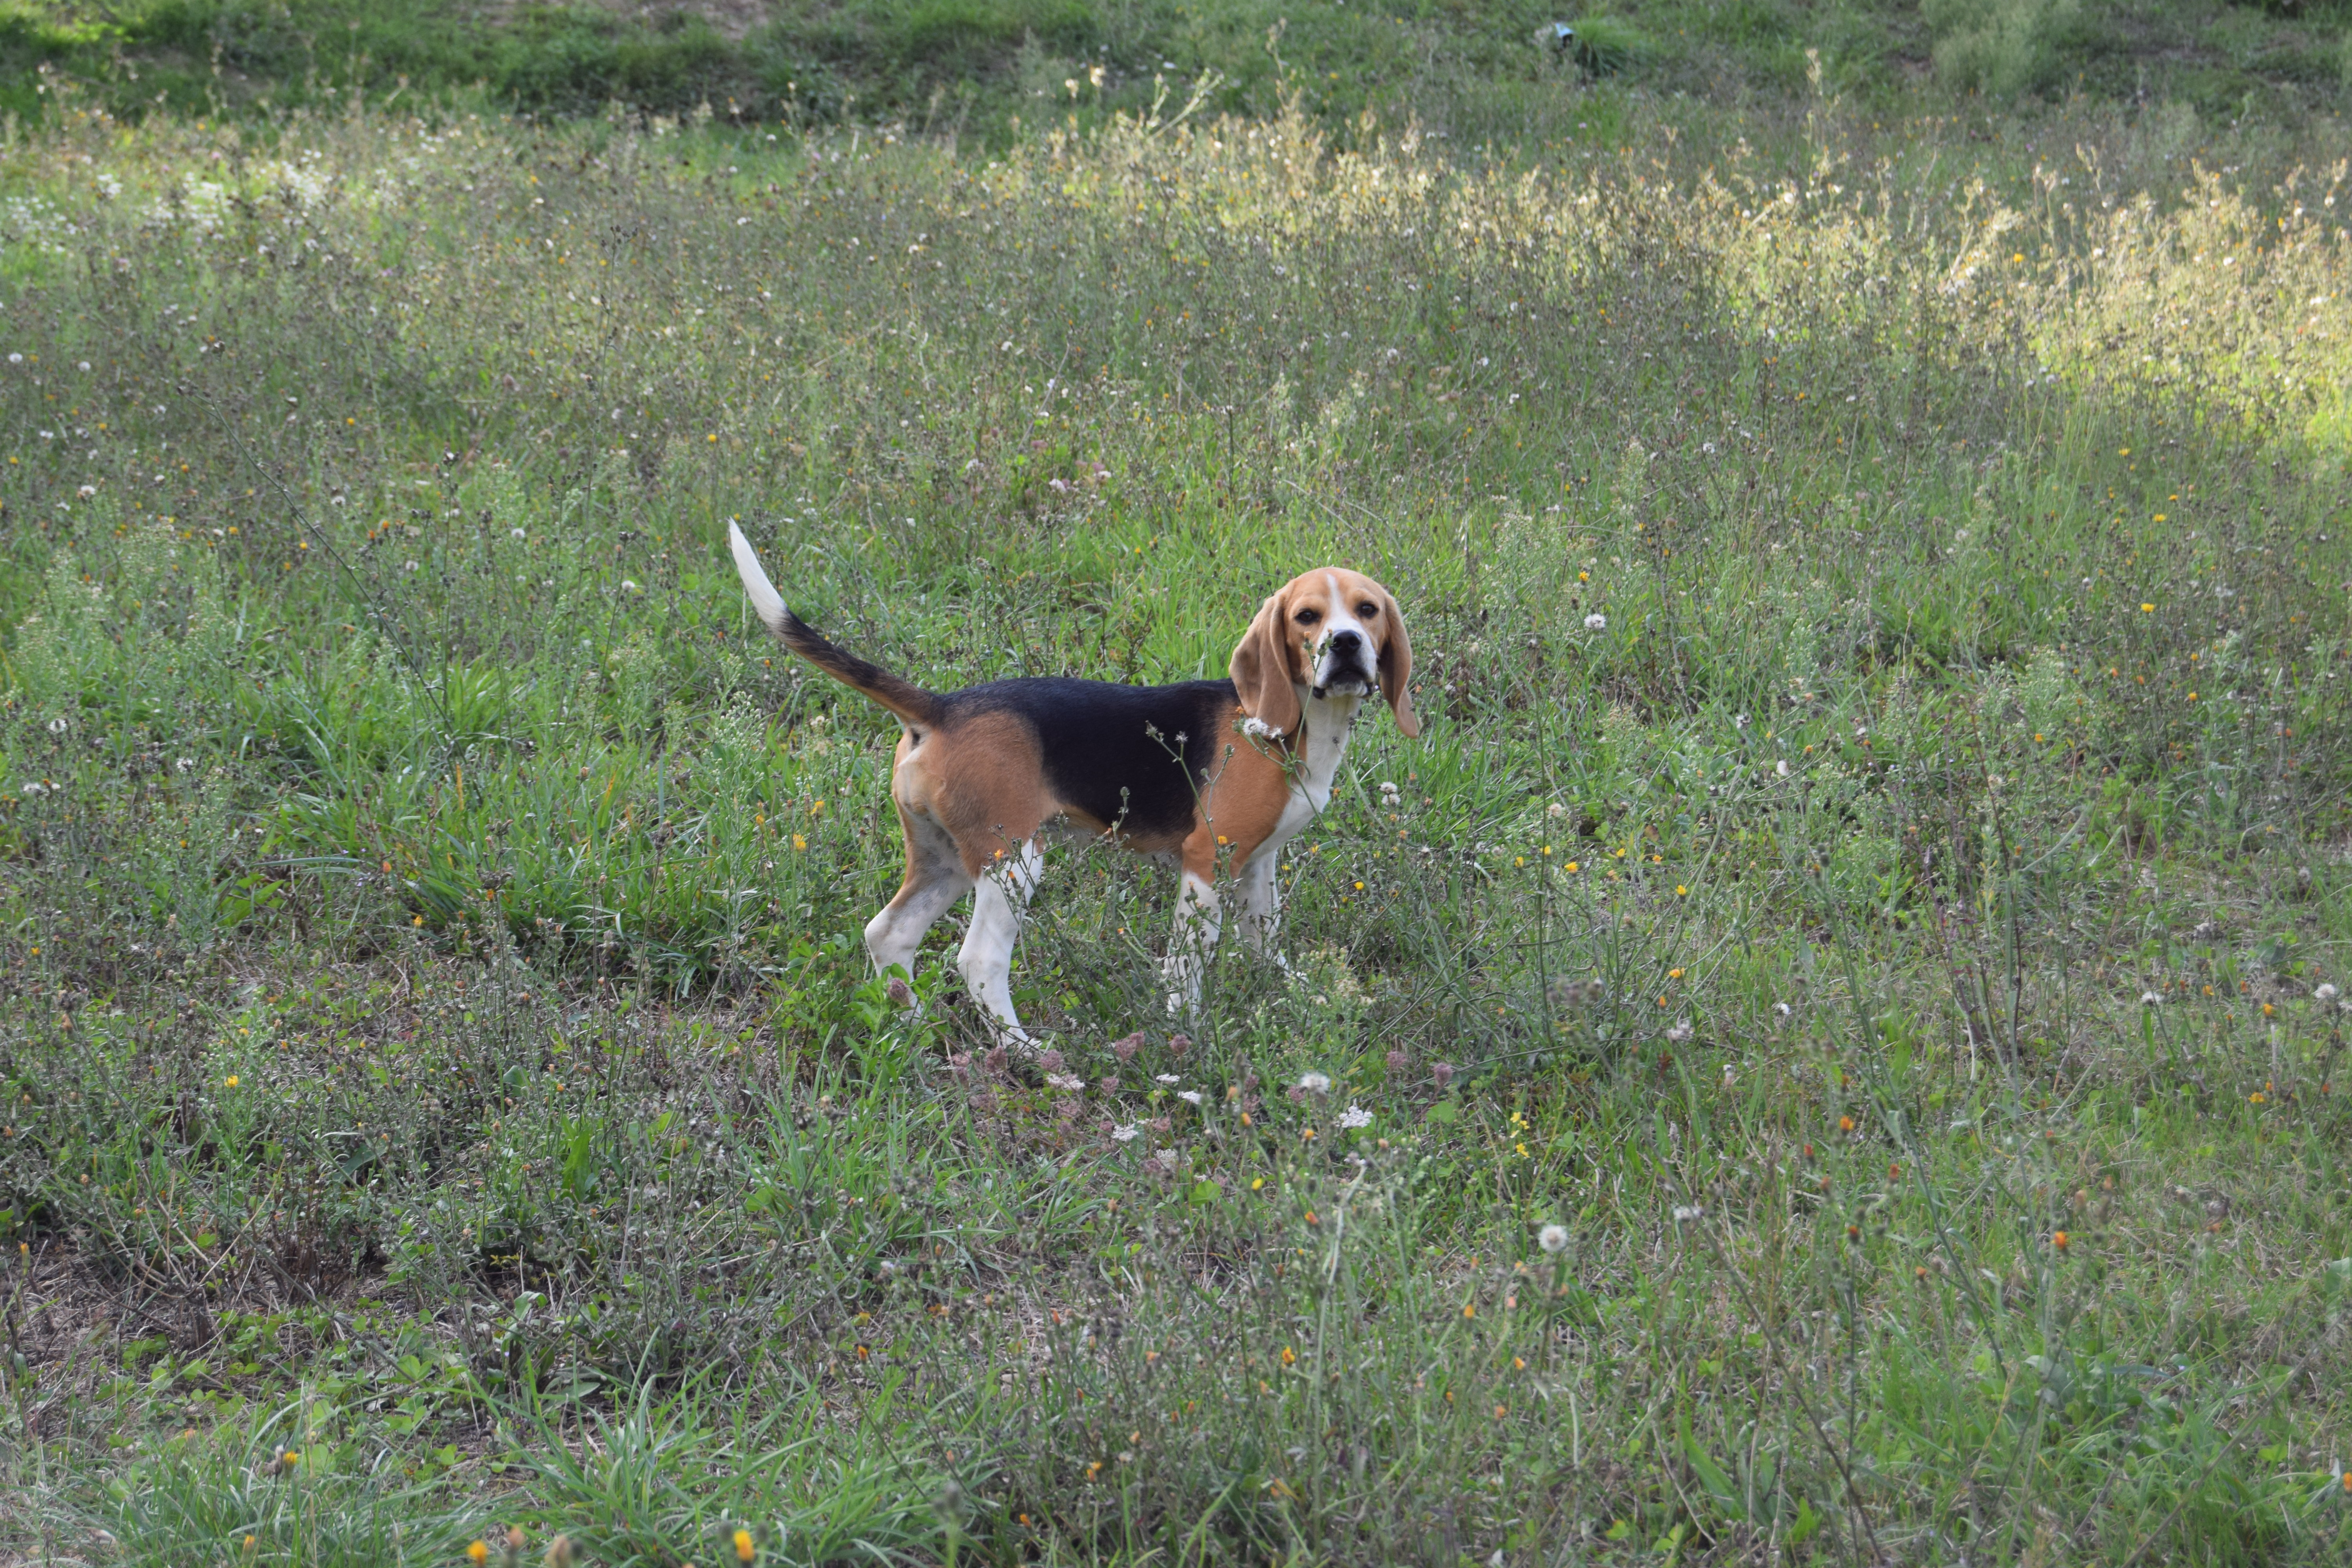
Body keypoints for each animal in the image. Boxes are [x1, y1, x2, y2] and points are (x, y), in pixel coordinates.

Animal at [724, 522, 1411, 1048]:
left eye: (1367, 610)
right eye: (1306, 617)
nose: (1346, 644)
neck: (1299, 724)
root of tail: (943, 708)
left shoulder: (1257, 864)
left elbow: (1266, 942)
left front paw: (1303, 997)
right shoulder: (1206, 863)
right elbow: (1185, 968)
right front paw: (1186, 1037)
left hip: (946, 859)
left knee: (888, 934)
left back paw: (919, 1030)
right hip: (1014, 859)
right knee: (978, 961)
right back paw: (1030, 1056)